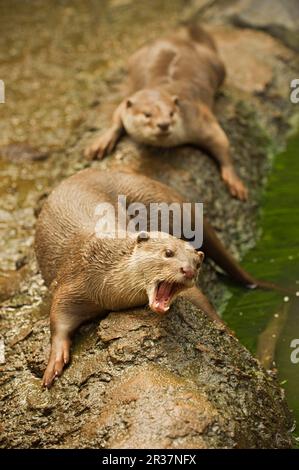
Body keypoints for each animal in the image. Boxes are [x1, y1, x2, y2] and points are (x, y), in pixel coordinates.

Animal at [84, 23, 248, 200]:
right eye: (147, 114)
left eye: (171, 113)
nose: (163, 124)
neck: (164, 88)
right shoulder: (126, 102)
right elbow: (116, 118)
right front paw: (100, 144)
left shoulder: (198, 118)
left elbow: (221, 140)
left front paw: (234, 180)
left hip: (218, 65)